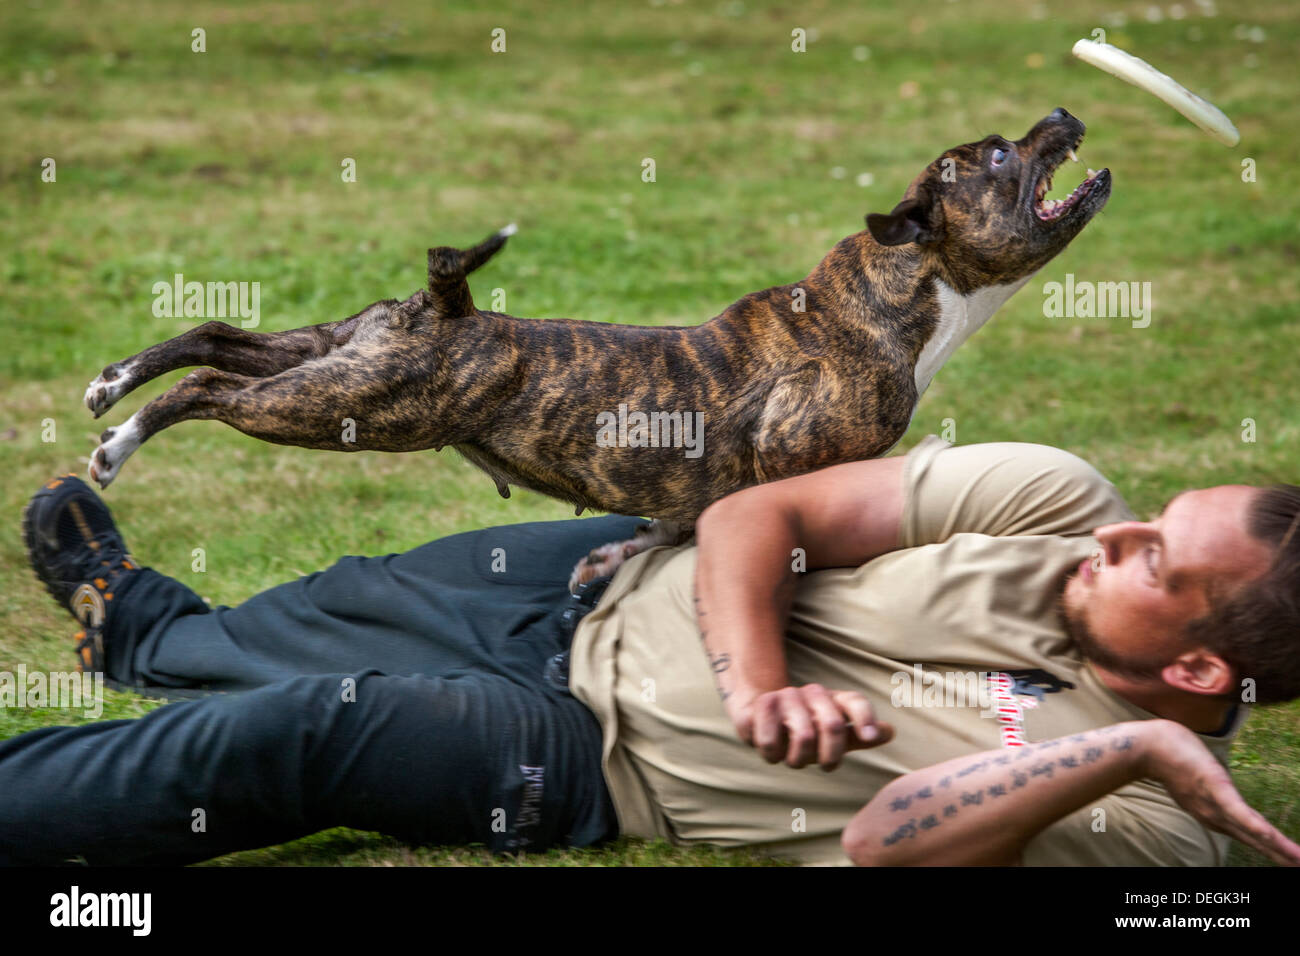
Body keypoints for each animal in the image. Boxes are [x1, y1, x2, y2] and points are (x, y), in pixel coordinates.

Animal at [86, 111, 1112, 590]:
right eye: (996, 156)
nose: (1064, 116)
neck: (887, 299)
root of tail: (450, 305)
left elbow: (672, 526)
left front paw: (613, 562)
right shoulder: (785, 466)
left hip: (339, 359)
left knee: (215, 337)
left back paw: (109, 382)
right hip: (343, 409)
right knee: (208, 388)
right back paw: (117, 444)